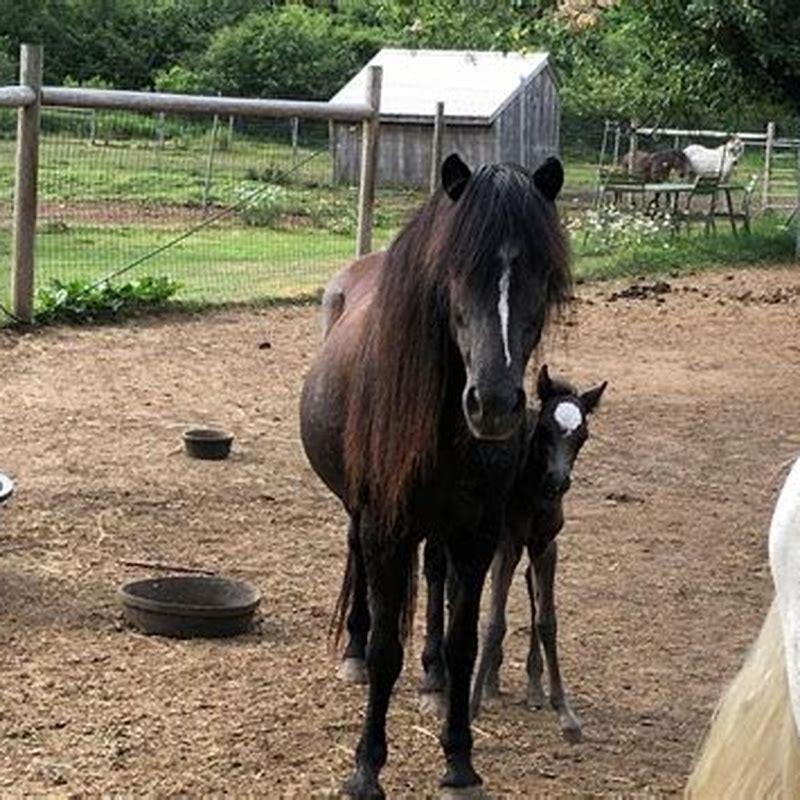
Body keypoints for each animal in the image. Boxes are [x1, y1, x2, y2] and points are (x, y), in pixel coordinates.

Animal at [300, 152, 571, 797]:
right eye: (454, 272)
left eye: (543, 275)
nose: (493, 404)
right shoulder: (386, 526)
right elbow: (384, 650)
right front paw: (365, 768)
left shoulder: (476, 536)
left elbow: (465, 639)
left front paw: (459, 760)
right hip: (361, 513)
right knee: (358, 564)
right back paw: (352, 649)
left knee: (434, 577)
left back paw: (433, 678)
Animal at [467, 366, 606, 739]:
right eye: (544, 430)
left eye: (582, 436)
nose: (558, 482)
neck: (532, 491)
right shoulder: (506, 545)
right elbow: (494, 621)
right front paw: (471, 706)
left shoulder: (546, 547)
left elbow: (546, 620)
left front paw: (565, 712)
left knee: (531, 591)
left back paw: (531, 688)